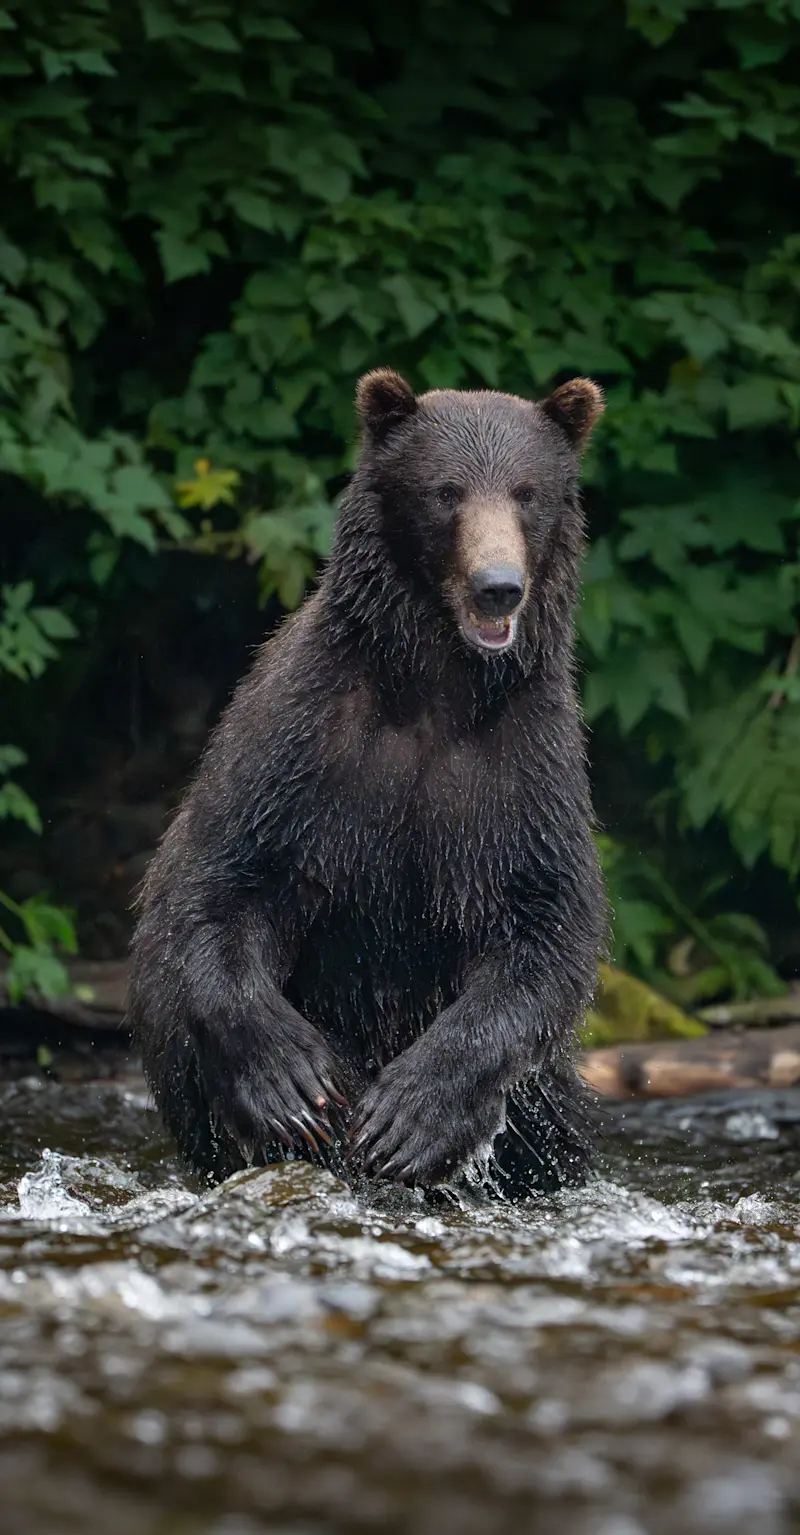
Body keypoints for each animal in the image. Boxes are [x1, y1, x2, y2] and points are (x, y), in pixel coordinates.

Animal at [128, 368, 607, 1196]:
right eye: (446, 490)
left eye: (527, 491)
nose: (498, 586)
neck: (437, 686)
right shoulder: (304, 743)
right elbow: (224, 886)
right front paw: (292, 1084)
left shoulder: (525, 767)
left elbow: (544, 929)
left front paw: (410, 1118)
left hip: (546, 1098)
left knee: (547, 1129)